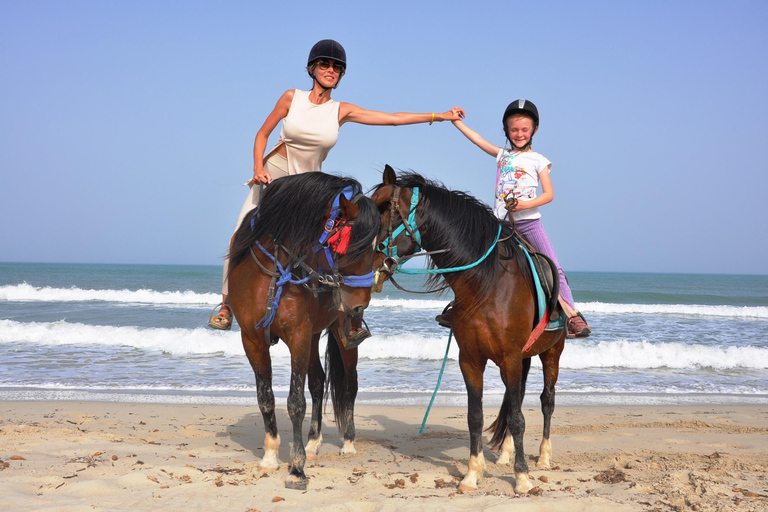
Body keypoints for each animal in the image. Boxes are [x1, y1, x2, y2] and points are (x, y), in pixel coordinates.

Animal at [226, 171, 380, 488]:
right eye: (354, 247)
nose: (359, 304)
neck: (275, 269)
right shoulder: (253, 339)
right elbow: (266, 397)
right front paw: (271, 455)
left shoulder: (297, 335)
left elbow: (296, 401)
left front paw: (296, 468)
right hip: (312, 336)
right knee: (319, 382)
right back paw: (312, 443)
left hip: (338, 336)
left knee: (350, 383)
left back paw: (348, 442)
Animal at [372, 167, 568, 492]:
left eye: (390, 211)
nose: (367, 261)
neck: (486, 284)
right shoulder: (471, 359)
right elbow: (476, 416)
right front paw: (473, 473)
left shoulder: (510, 357)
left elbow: (518, 418)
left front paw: (522, 477)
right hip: (522, 358)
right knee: (515, 400)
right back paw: (505, 454)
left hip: (551, 352)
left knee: (546, 401)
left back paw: (542, 457)